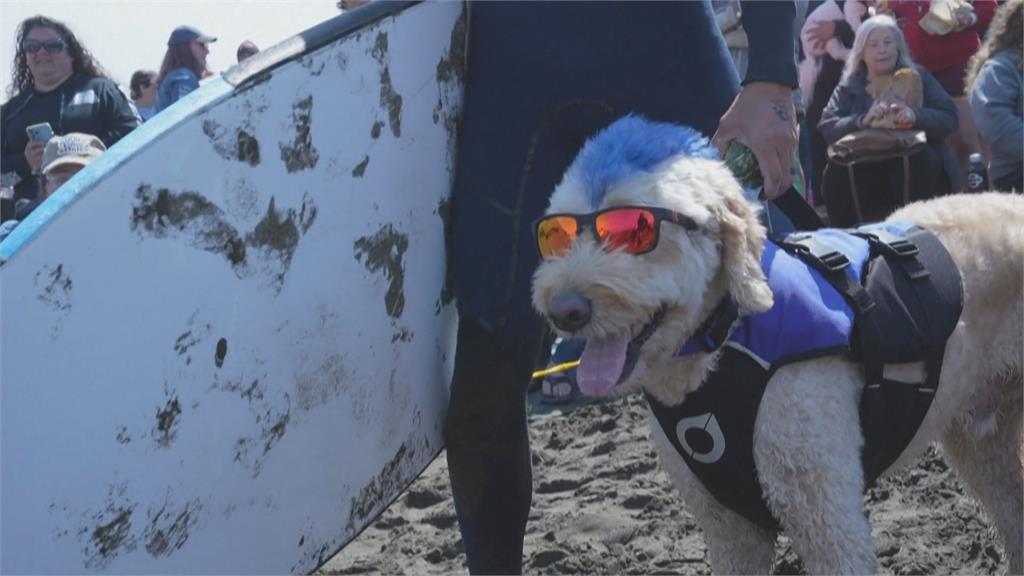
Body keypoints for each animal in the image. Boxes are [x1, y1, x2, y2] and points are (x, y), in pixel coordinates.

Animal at [532, 114, 1019, 569]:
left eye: (635, 231)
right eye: (555, 237)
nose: (563, 311)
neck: (723, 344)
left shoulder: (826, 517)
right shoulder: (730, 531)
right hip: (981, 443)